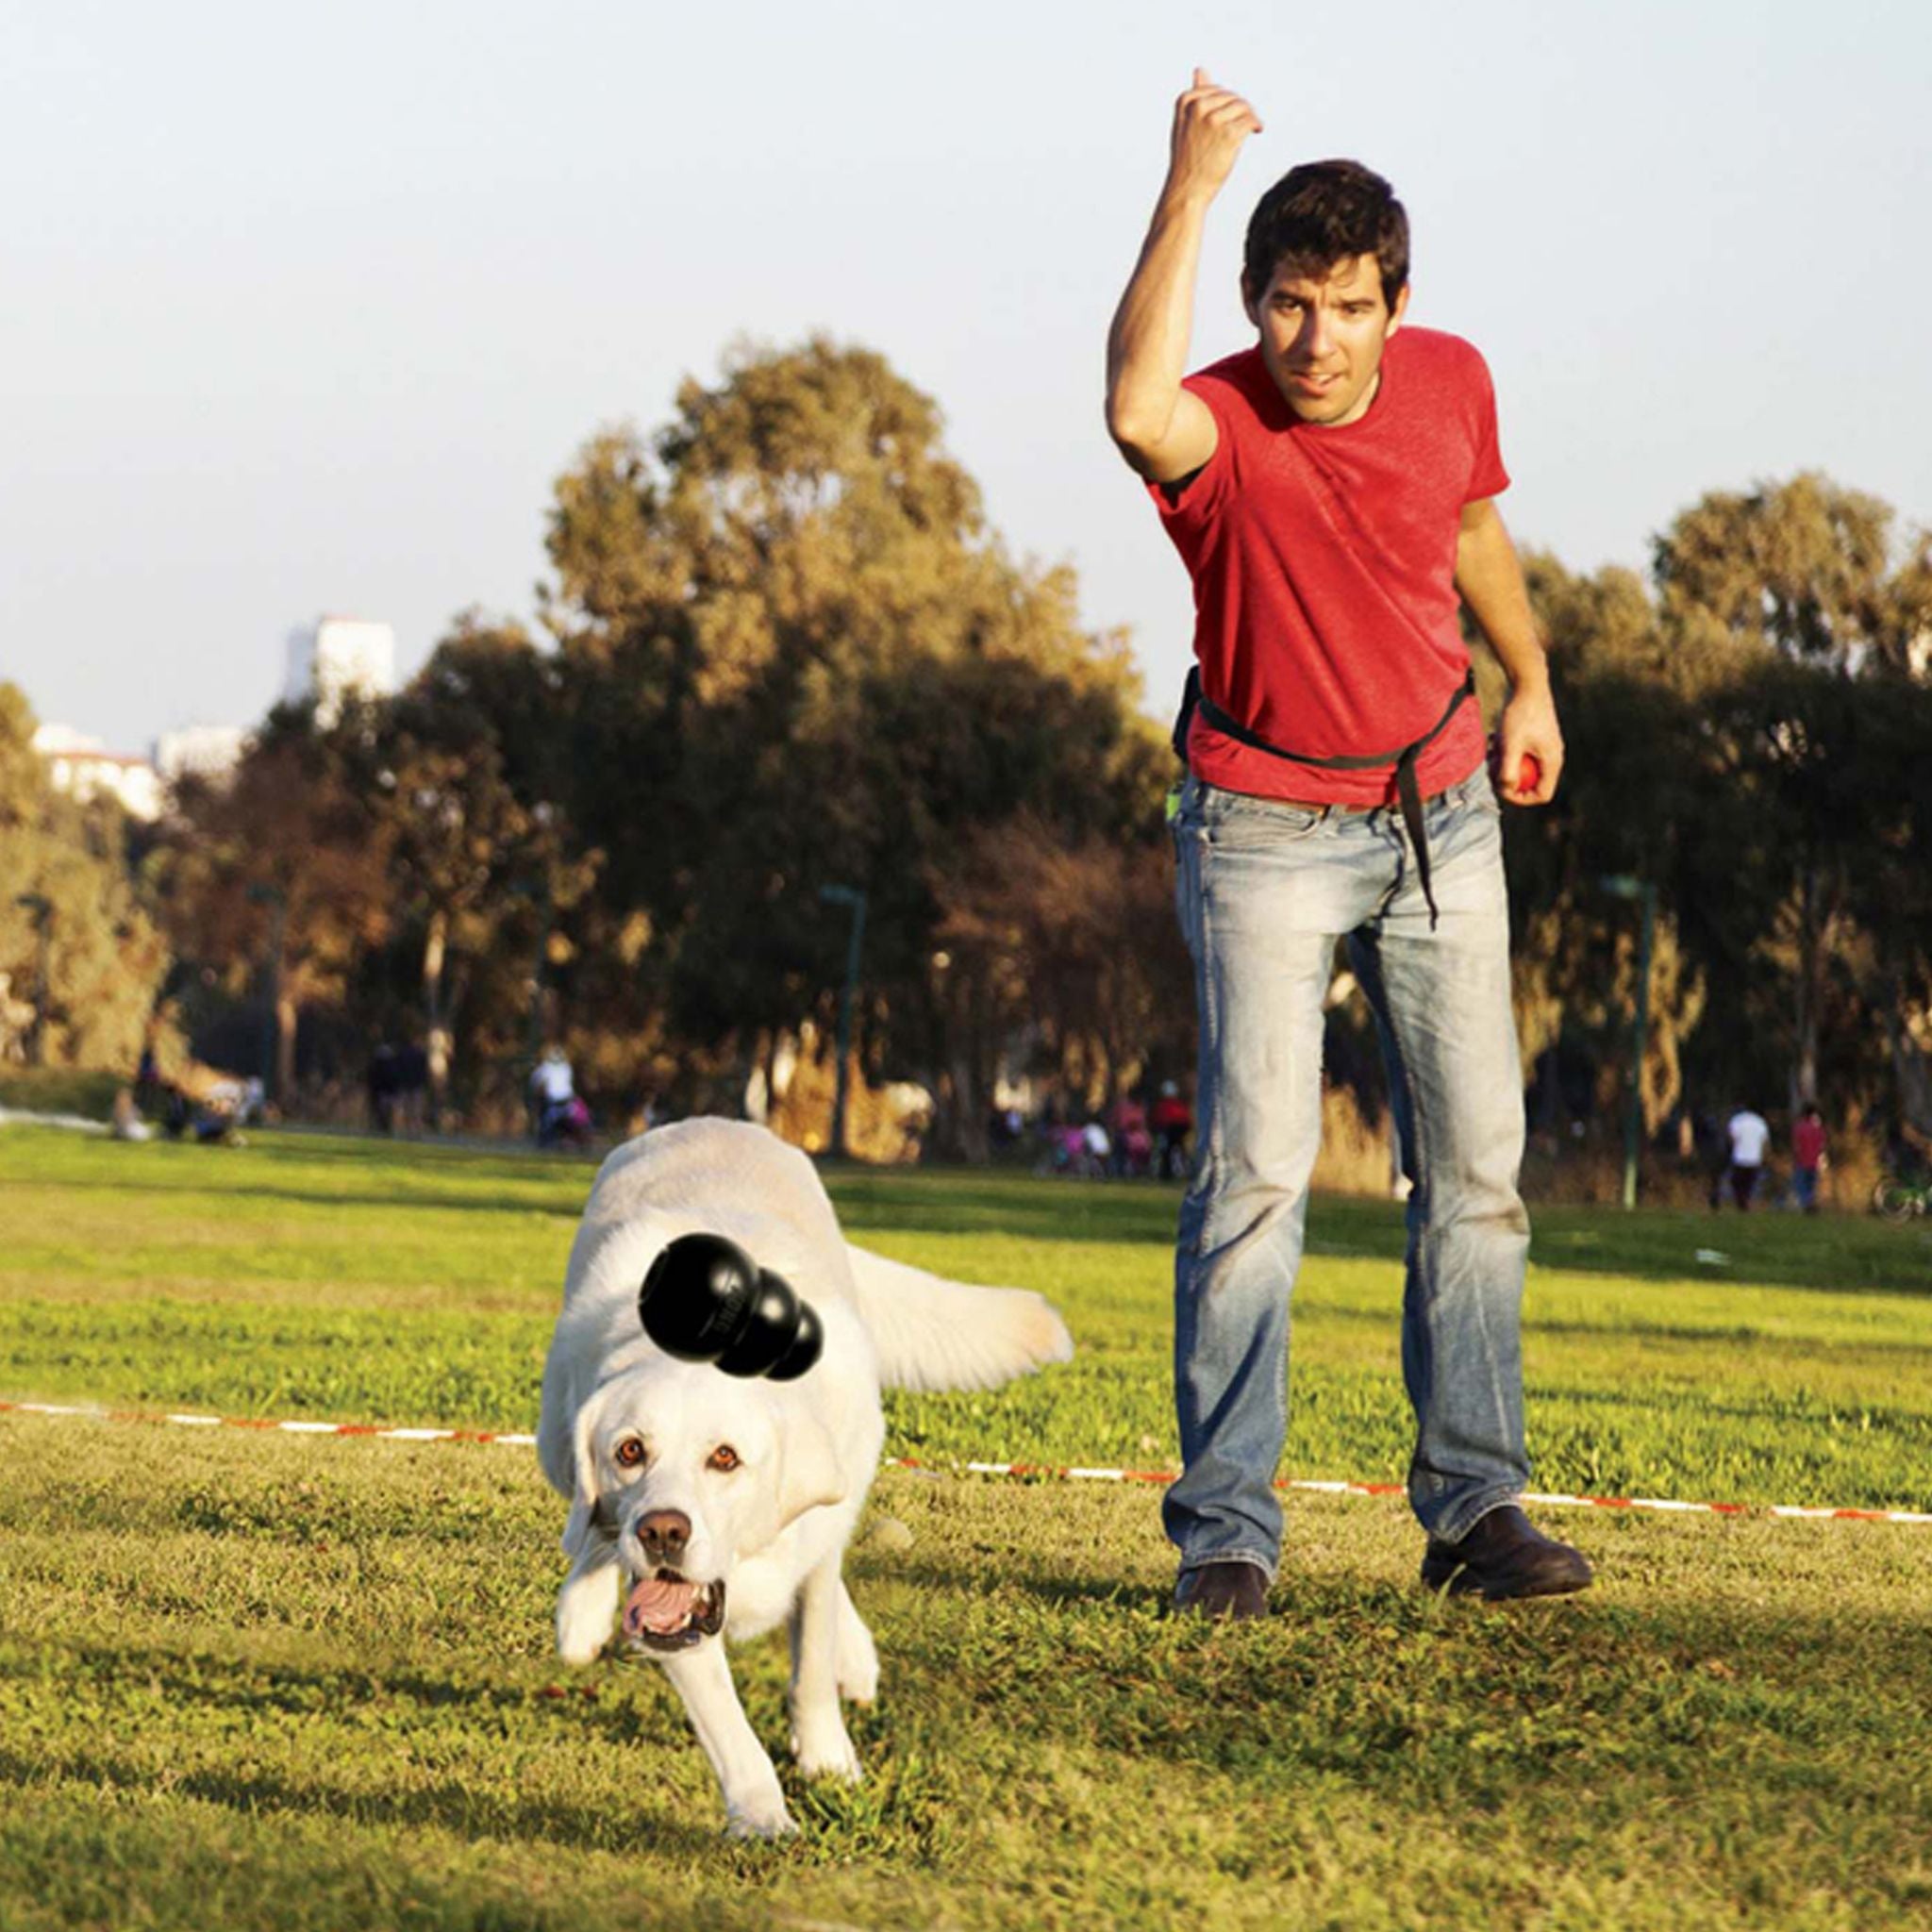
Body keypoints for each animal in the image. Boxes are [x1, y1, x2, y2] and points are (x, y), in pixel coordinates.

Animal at [541, 1112, 1074, 1831]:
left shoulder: (814, 1543)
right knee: (587, 1528)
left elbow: (813, 1659)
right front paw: (761, 1817)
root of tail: (714, 1120)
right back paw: (582, 1612)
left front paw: (826, 1760)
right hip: (555, 1431)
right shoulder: (673, 1615)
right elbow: (726, 1723)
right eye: (629, 1451)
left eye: (725, 1457)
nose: (662, 1533)